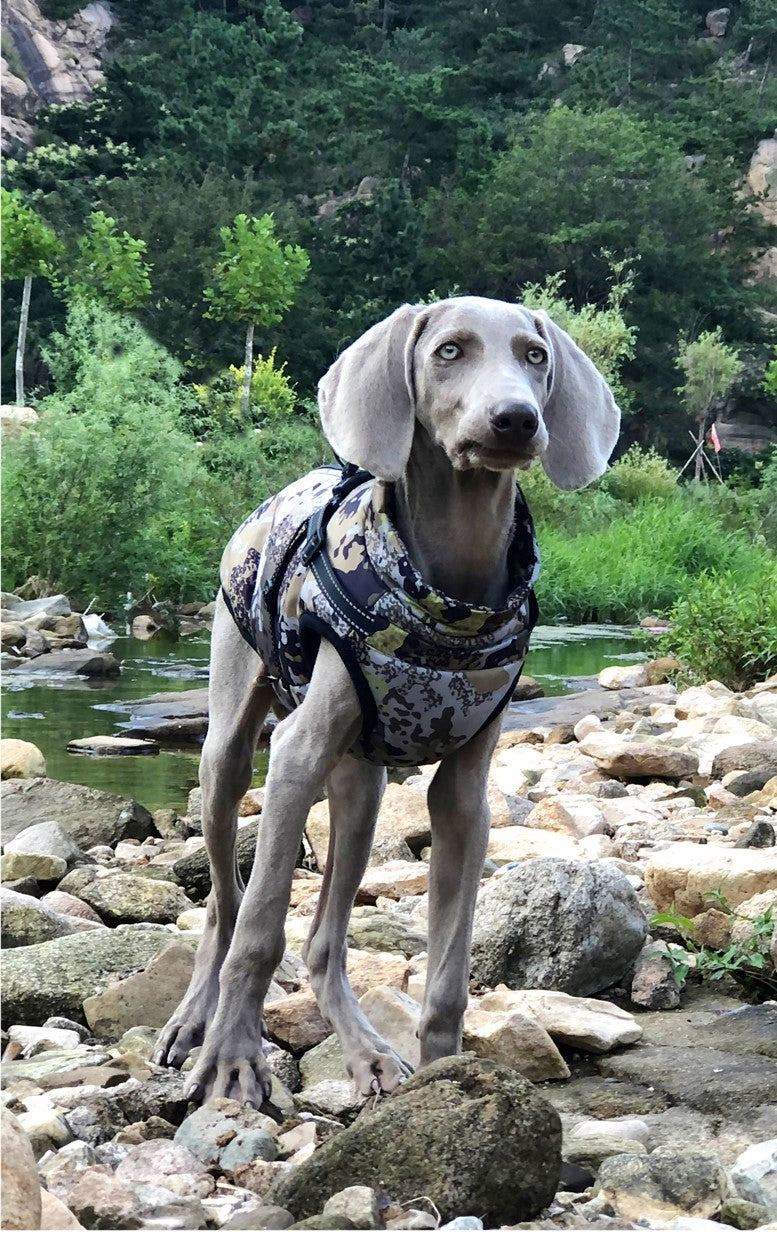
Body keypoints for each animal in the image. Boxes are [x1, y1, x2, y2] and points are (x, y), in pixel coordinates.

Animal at [153, 293, 617, 1106]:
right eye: (448, 351)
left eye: (534, 356)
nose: (516, 419)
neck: (449, 601)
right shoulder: (294, 755)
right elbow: (260, 926)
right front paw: (234, 1058)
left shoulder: (465, 792)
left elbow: (449, 971)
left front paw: (447, 1076)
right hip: (231, 745)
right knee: (225, 903)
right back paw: (194, 1023)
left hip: (362, 784)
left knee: (322, 940)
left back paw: (367, 1053)